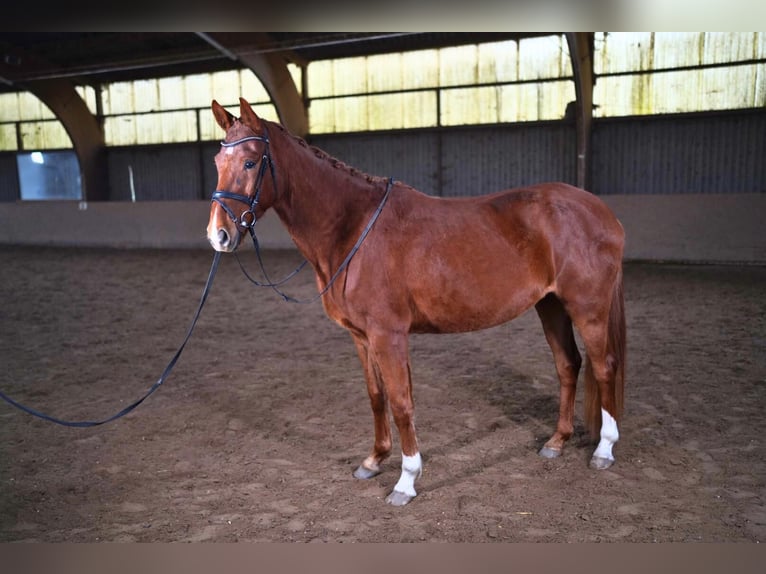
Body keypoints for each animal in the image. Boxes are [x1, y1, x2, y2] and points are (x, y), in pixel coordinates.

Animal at [207, 97, 626, 506]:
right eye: (217, 162)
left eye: (250, 161)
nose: (218, 235)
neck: (353, 229)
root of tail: (602, 212)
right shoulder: (362, 337)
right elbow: (377, 397)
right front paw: (374, 460)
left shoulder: (388, 335)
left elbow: (401, 402)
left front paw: (406, 482)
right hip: (551, 306)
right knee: (568, 365)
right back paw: (557, 442)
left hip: (587, 309)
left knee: (603, 366)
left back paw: (604, 450)